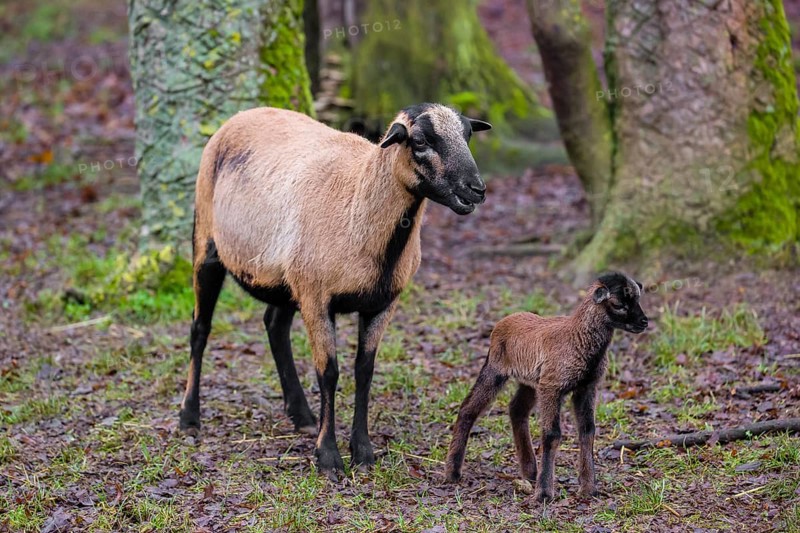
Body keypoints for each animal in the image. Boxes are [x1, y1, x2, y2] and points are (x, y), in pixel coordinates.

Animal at [179, 103, 492, 478]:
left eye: (468, 135)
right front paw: (328, 456)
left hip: (288, 278)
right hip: (207, 241)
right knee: (200, 328)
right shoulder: (317, 298)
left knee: (274, 326)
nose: (476, 189)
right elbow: (328, 372)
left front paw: (363, 451)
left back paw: (301, 415)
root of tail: (245, 112)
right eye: (419, 141)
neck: (359, 203)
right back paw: (189, 418)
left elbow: (364, 371)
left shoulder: (382, 303)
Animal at [445, 272, 648, 501]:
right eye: (618, 304)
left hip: (530, 382)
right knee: (468, 408)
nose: (644, 322)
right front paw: (544, 493)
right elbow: (551, 434)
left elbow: (587, 430)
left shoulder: (586, 388)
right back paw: (452, 472)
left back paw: (530, 471)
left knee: (517, 410)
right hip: (495, 370)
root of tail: (505, 320)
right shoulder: (552, 387)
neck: (578, 338)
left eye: (638, 299)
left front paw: (589, 488)